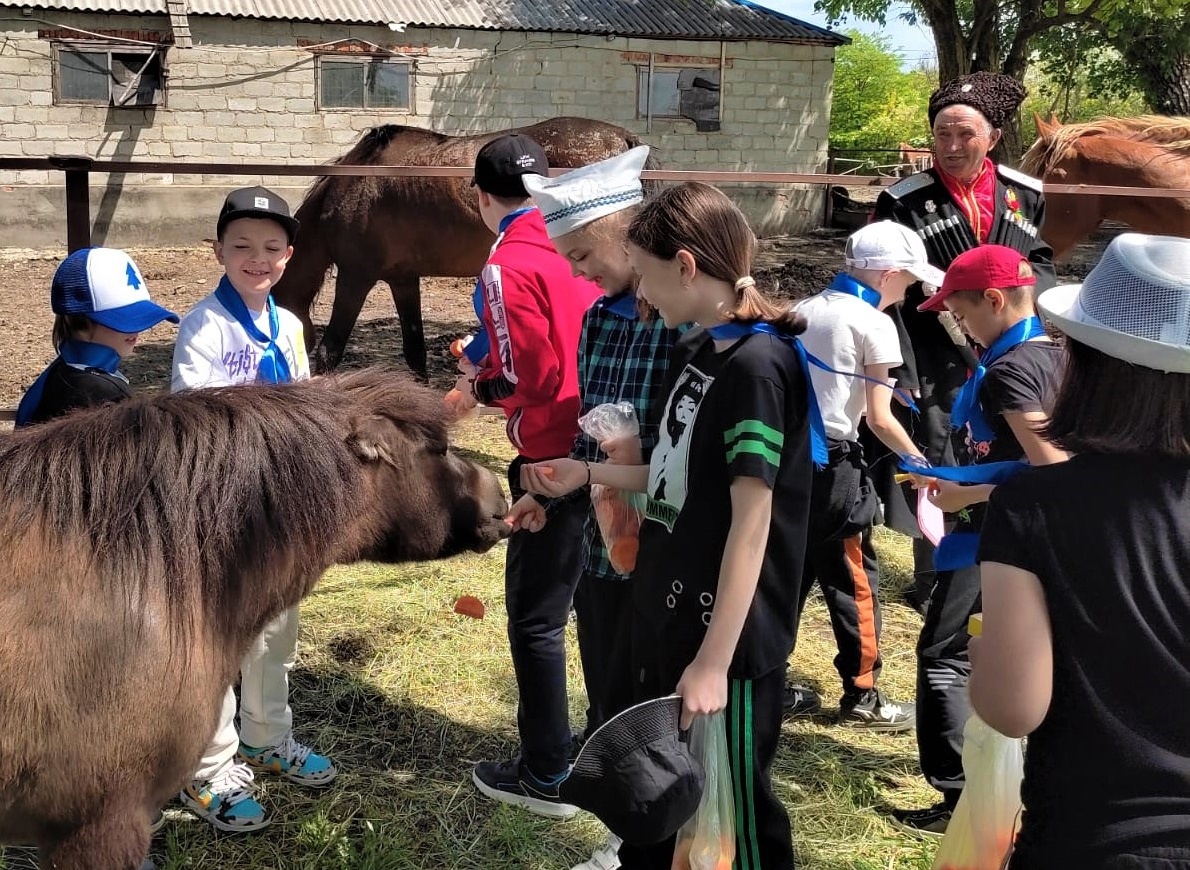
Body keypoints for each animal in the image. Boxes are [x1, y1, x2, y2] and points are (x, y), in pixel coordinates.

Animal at [273, 115, 656, 373]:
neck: (352, 185)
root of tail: (623, 139)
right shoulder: (402, 279)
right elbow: (414, 350)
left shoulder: (356, 276)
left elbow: (331, 349)